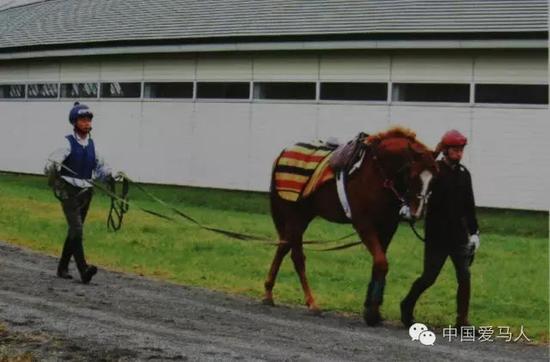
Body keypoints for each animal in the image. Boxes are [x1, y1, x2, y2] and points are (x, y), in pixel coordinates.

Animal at [264, 127, 440, 326]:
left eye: (434, 178)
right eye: (412, 174)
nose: (418, 211)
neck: (377, 172)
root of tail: (283, 153)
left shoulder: (388, 226)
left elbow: (379, 263)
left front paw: (373, 310)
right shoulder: (364, 224)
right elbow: (381, 262)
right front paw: (372, 312)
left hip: (304, 215)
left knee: (283, 247)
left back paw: (269, 292)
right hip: (294, 213)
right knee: (297, 257)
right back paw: (311, 302)